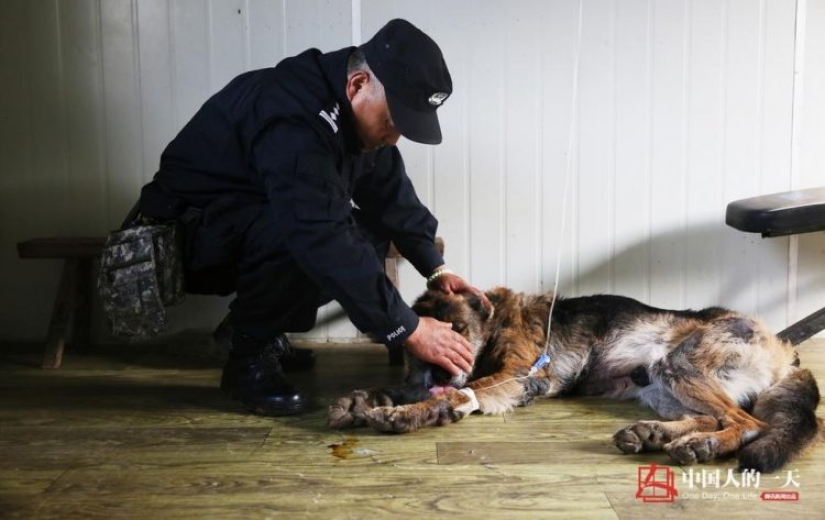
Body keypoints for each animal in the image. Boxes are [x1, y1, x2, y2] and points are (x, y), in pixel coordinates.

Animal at [330, 286, 824, 474]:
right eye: (425, 343)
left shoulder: (519, 375)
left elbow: (453, 394)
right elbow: (399, 389)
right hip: (662, 386)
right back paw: (655, 435)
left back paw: (698, 445)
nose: (435, 372)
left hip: (678, 365)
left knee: (748, 423)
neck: (493, 323)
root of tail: (785, 351)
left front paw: (408, 412)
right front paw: (359, 402)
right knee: (718, 418)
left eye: (459, 331)